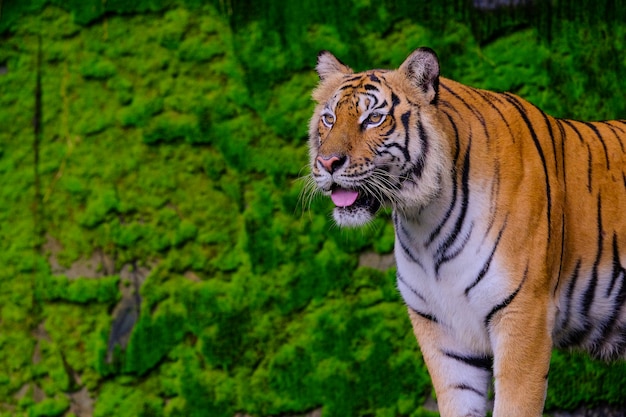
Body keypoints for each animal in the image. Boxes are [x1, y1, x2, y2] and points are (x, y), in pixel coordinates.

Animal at [304, 48, 624, 416]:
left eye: (373, 119)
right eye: (329, 119)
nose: (327, 162)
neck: (424, 222)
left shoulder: (523, 316)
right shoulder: (442, 331)